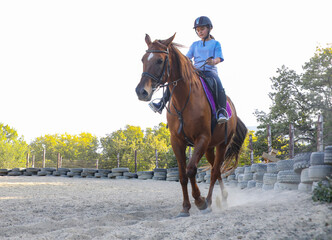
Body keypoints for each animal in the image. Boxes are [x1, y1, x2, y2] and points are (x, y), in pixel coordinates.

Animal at [135, 34, 246, 218]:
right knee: (216, 169)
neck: (184, 101)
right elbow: (182, 175)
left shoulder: (201, 138)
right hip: (210, 148)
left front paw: (199, 201)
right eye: (143, 59)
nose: (141, 92)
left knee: (215, 171)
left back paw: (211, 201)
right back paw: (220, 198)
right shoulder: (177, 141)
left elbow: (191, 169)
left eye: (159, 60)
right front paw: (185, 207)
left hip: (221, 145)